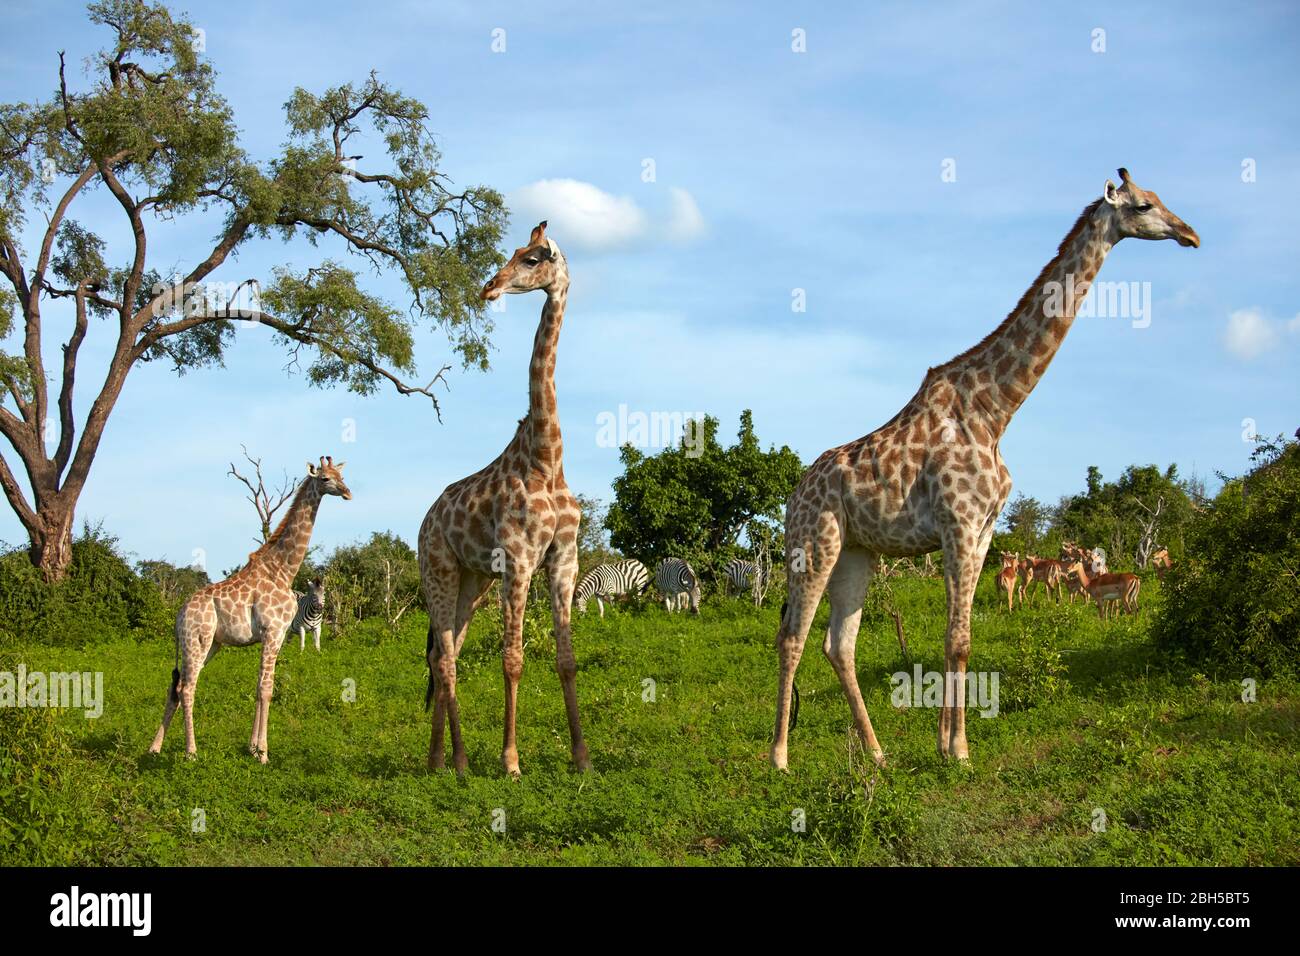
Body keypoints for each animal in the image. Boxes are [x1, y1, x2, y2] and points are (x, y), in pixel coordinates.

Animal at [149, 456, 351, 763]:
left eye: (342, 475)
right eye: (326, 478)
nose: (347, 492)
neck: (282, 571)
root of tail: (179, 615)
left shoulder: (275, 636)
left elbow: (258, 687)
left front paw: (252, 748)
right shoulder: (273, 631)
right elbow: (267, 689)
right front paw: (263, 753)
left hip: (209, 645)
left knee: (175, 687)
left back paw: (154, 747)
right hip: (197, 640)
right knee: (187, 688)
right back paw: (191, 752)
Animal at [417, 221, 589, 777]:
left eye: (533, 258)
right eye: (513, 253)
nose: (489, 287)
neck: (547, 458)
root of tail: (425, 522)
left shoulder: (563, 558)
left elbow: (566, 659)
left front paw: (582, 758)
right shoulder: (518, 558)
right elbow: (512, 659)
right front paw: (511, 761)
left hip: (473, 582)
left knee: (443, 655)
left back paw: (438, 759)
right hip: (439, 570)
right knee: (446, 659)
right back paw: (461, 761)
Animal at [771, 169, 1198, 769]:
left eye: (1161, 199)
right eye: (1143, 206)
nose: (1190, 234)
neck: (997, 410)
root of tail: (793, 496)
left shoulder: (984, 529)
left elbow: (963, 639)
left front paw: (948, 745)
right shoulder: (958, 522)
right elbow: (956, 638)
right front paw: (959, 751)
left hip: (857, 552)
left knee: (840, 644)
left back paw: (877, 754)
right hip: (814, 544)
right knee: (793, 636)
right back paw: (780, 758)